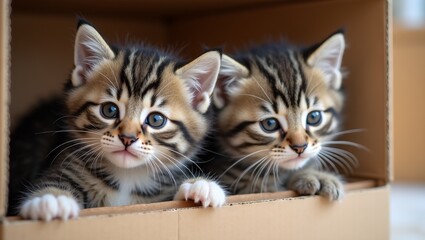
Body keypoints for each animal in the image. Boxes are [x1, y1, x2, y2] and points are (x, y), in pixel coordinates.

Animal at [8, 20, 225, 221]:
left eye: (156, 119)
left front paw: (199, 185)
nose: (127, 138)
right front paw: (51, 198)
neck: (127, 178)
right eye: (109, 110)